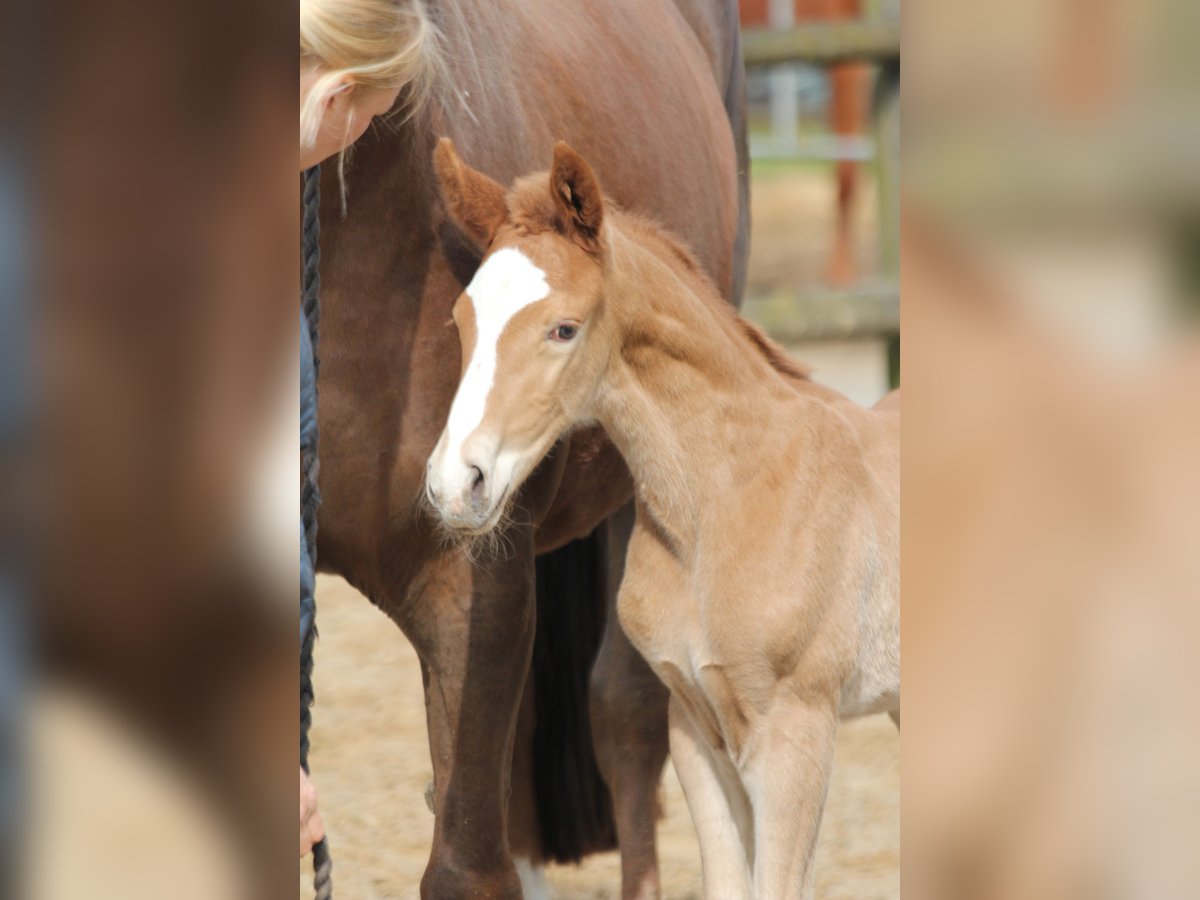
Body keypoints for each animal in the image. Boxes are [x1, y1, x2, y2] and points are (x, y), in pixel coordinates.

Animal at [427, 137, 897, 897]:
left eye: (563, 329)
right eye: (460, 322)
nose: (452, 484)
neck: (725, 500)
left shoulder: (795, 733)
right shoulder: (696, 730)